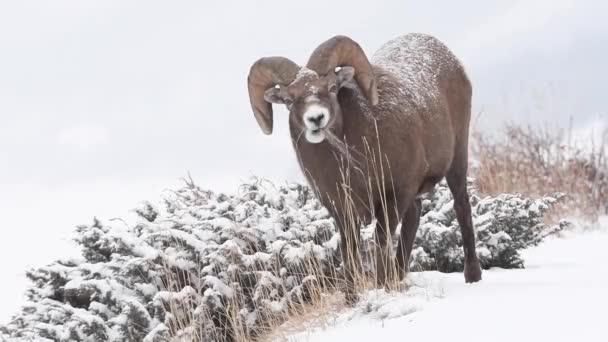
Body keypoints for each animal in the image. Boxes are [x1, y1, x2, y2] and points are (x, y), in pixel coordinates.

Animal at [246, 33, 480, 300]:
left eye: (332, 87)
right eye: (288, 100)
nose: (316, 118)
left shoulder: (394, 196)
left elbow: (381, 240)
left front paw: (382, 285)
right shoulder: (341, 208)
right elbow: (350, 247)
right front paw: (352, 295)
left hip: (457, 160)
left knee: (461, 206)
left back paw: (472, 276)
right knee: (414, 217)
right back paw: (400, 275)